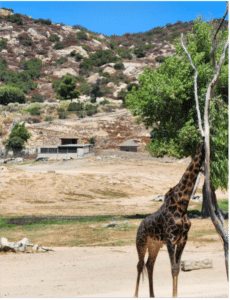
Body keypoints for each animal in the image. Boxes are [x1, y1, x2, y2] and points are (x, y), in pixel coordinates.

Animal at [135, 141, 205, 298]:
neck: (182, 203)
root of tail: (139, 226)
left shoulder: (183, 239)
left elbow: (177, 268)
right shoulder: (170, 238)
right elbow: (173, 268)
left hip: (154, 245)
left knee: (149, 265)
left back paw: (152, 295)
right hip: (141, 243)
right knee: (140, 265)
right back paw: (135, 295)